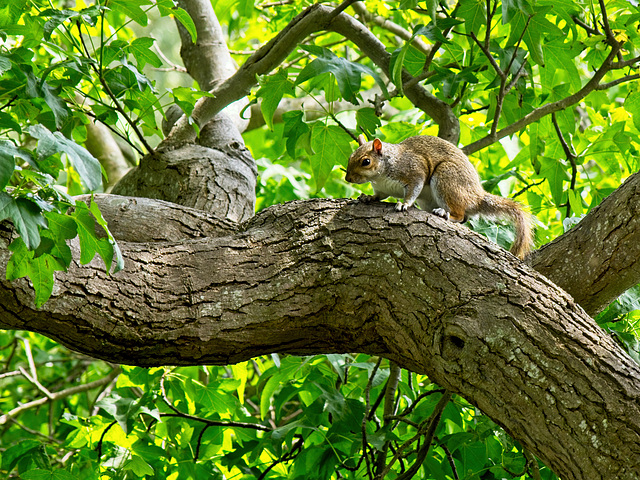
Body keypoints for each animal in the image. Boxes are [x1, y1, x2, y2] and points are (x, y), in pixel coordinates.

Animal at [348, 135, 532, 258]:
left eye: (366, 161)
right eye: (350, 157)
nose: (348, 178)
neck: (381, 175)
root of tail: (477, 197)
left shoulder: (414, 170)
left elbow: (413, 189)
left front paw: (405, 204)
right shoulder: (382, 189)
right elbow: (379, 196)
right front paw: (368, 197)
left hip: (447, 179)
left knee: (460, 215)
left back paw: (445, 213)